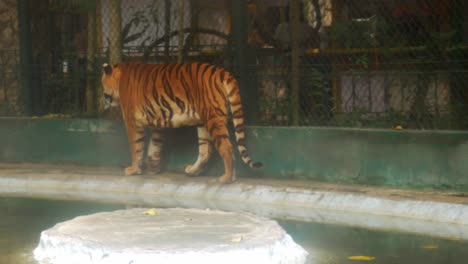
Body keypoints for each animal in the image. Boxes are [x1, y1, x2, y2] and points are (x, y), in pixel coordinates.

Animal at [100, 62, 262, 184]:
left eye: (102, 83)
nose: (102, 96)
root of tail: (224, 73)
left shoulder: (132, 122)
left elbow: (136, 147)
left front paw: (133, 169)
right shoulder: (157, 125)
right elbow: (154, 147)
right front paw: (153, 170)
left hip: (213, 119)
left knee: (226, 148)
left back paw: (227, 178)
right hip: (203, 123)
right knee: (205, 151)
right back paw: (193, 171)